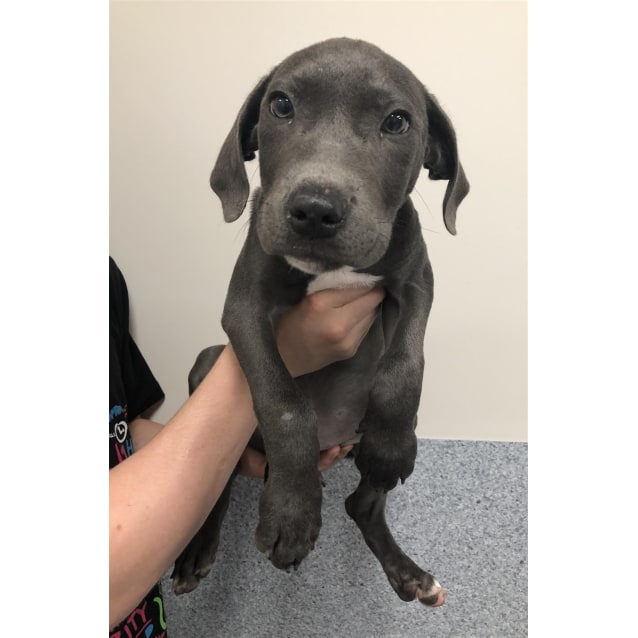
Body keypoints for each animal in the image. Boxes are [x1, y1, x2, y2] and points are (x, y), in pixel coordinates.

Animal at [171, 37, 470, 608]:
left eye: (397, 121)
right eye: (281, 105)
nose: (314, 209)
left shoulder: (416, 282)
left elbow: (405, 364)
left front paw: (391, 447)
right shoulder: (243, 307)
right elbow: (284, 402)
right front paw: (292, 511)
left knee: (362, 504)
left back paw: (408, 573)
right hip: (207, 361)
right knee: (218, 481)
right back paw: (198, 551)